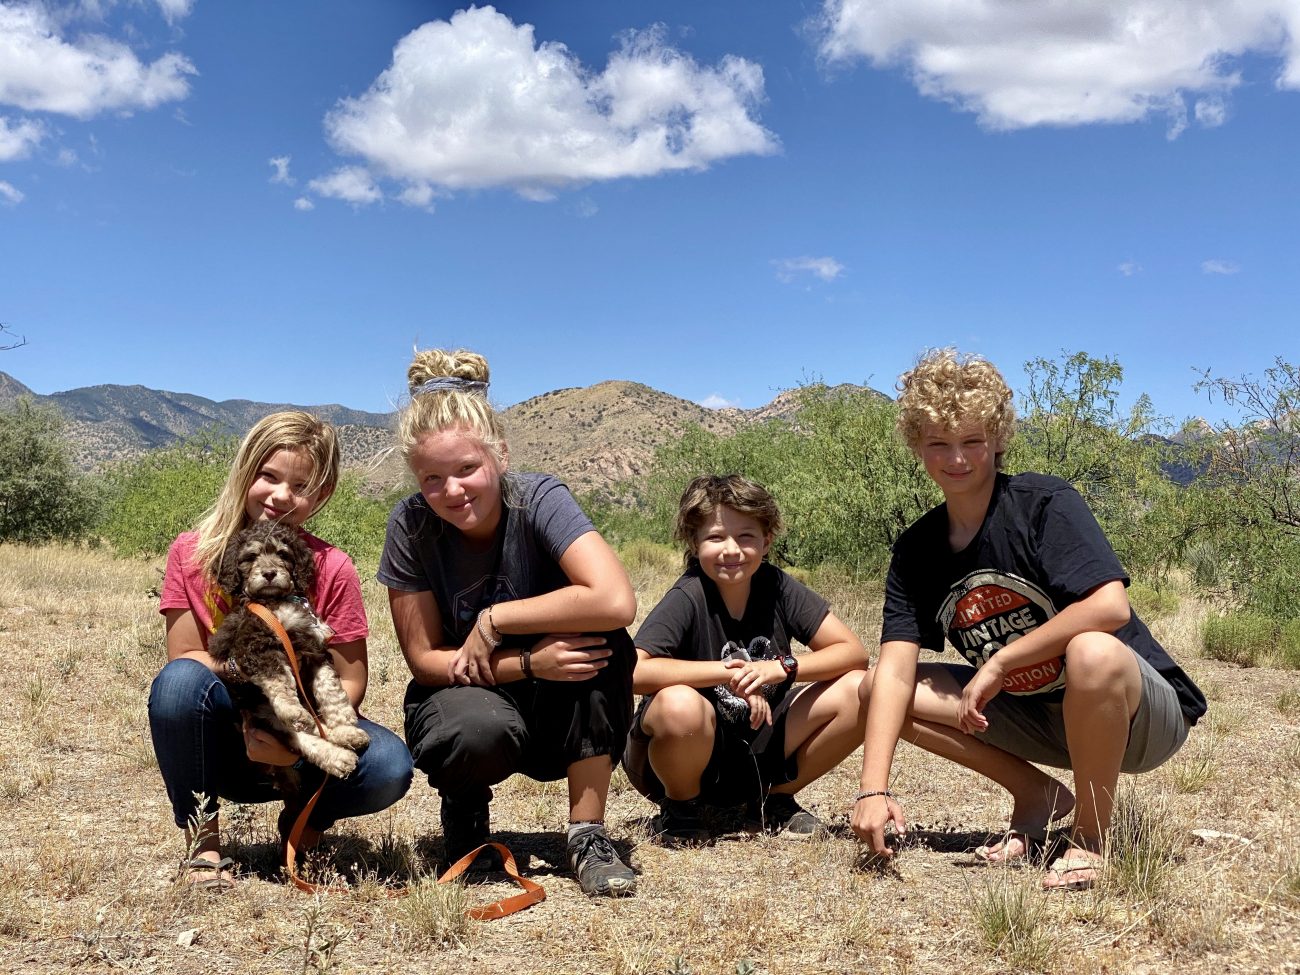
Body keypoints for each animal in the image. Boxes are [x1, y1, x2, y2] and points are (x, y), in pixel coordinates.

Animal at [208, 520, 369, 785]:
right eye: (250, 557)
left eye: (283, 554)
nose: (269, 574)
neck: (275, 601)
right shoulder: (255, 645)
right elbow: (279, 679)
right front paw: (292, 708)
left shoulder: (315, 647)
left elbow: (330, 689)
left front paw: (345, 725)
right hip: (262, 717)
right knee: (299, 737)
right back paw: (337, 757)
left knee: (314, 726)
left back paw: (345, 737)